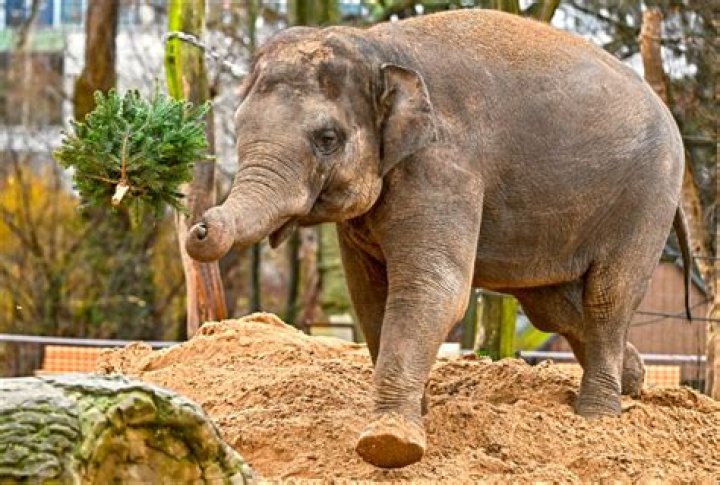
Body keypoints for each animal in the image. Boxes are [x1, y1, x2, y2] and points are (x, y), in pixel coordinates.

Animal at [185, 9, 691, 469]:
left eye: (327, 138)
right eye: (238, 127)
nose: (199, 228)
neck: (377, 47)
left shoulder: (443, 162)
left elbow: (431, 289)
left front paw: (389, 444)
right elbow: (369, 296)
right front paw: (414, 415)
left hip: (648, 197)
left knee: (607, 297)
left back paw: (598, 415)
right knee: (550, 306)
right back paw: (635, 381)